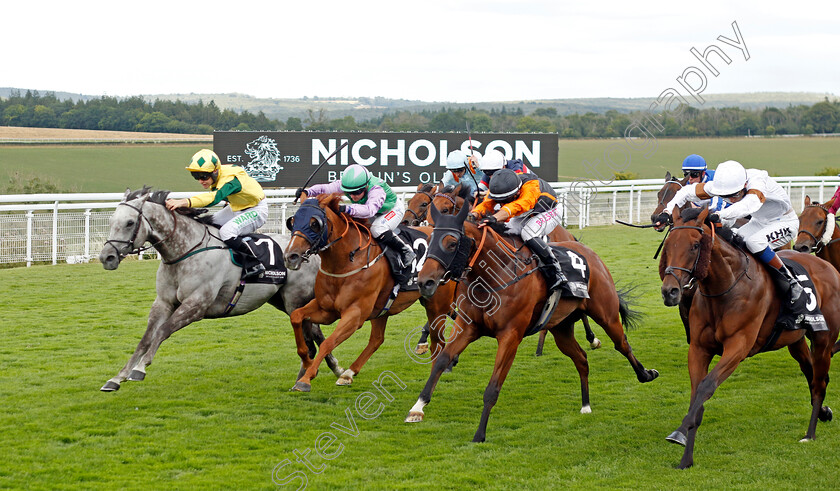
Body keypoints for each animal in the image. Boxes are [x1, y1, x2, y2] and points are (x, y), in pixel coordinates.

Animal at [94, 187, 338, 392]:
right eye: (111, 221)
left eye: (129, 223)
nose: (107, 257)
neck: (184, 252)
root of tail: (311, 251)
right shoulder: (163, 302)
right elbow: (145, 339)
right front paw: (117, 377)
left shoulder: (196, 305)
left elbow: (163, 331)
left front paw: (140, 369)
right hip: (282, 301)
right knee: (316, 335)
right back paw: (333, 370)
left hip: (295, 301)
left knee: (310, 342)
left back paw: (305, 379)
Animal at [284, 195, 456, 392]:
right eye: (292, 221)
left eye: (314, 223)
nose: (290, 256)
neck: (346, 263)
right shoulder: (325, 310)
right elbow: (296, 316)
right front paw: (306, 360)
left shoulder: (355, 314)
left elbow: (328, 342)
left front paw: (305, 379)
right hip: (383, 309)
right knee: (377, 339)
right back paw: (348, 374)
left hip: (437, 305)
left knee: (438, 341)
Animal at [404, 203, 660, 442]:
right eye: (430, 240)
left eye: (451, 243)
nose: (424, 282)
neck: (495, 275)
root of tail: (590, 253)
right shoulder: (468, 327)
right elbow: (441, 361)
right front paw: (417, 408)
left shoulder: (510, 336)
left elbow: (493, 387)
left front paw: (480, 433)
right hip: (561, 328)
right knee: (581, 359)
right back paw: (586, 405)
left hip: (606, 314)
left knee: (622, 344)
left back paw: (646, 374)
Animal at [660, 207, 836, 468]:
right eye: (668, 244)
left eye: (694, 245)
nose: (669, 291)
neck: (725, 287)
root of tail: (829, 267)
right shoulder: (699, 348)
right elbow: (696, 394)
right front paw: (686, 457)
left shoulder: (738, 346)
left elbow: (706, 387)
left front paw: (679, 431)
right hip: (796, 341)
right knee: (811, 373)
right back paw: (823, 412)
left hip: (824, 339)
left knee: (819, 383)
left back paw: (810, 433)